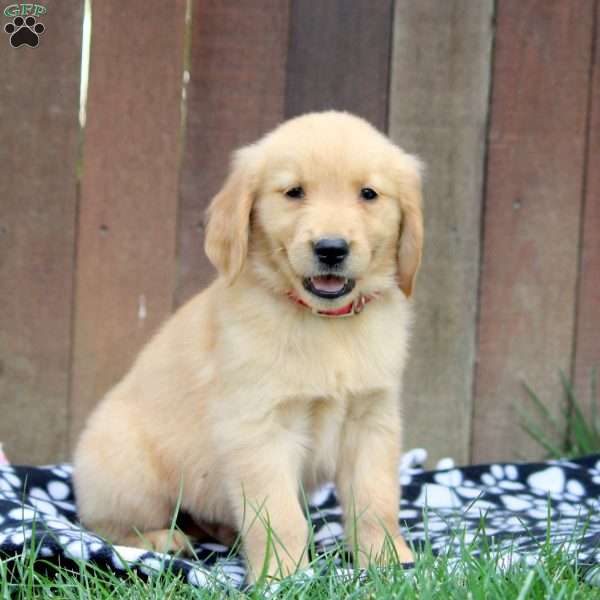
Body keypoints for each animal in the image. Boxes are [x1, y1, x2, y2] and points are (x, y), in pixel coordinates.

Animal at [72, 110, 424, 580]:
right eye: (294, 192)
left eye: (368, 194)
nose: (331, 249)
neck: (324, 323)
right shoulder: (259, 428)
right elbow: (280, 516)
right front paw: (283, 575)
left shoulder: (371, 420)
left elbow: (376, 503)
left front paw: (389, 563)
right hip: (131, 472)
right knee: (104, 525)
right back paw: (161, 540)